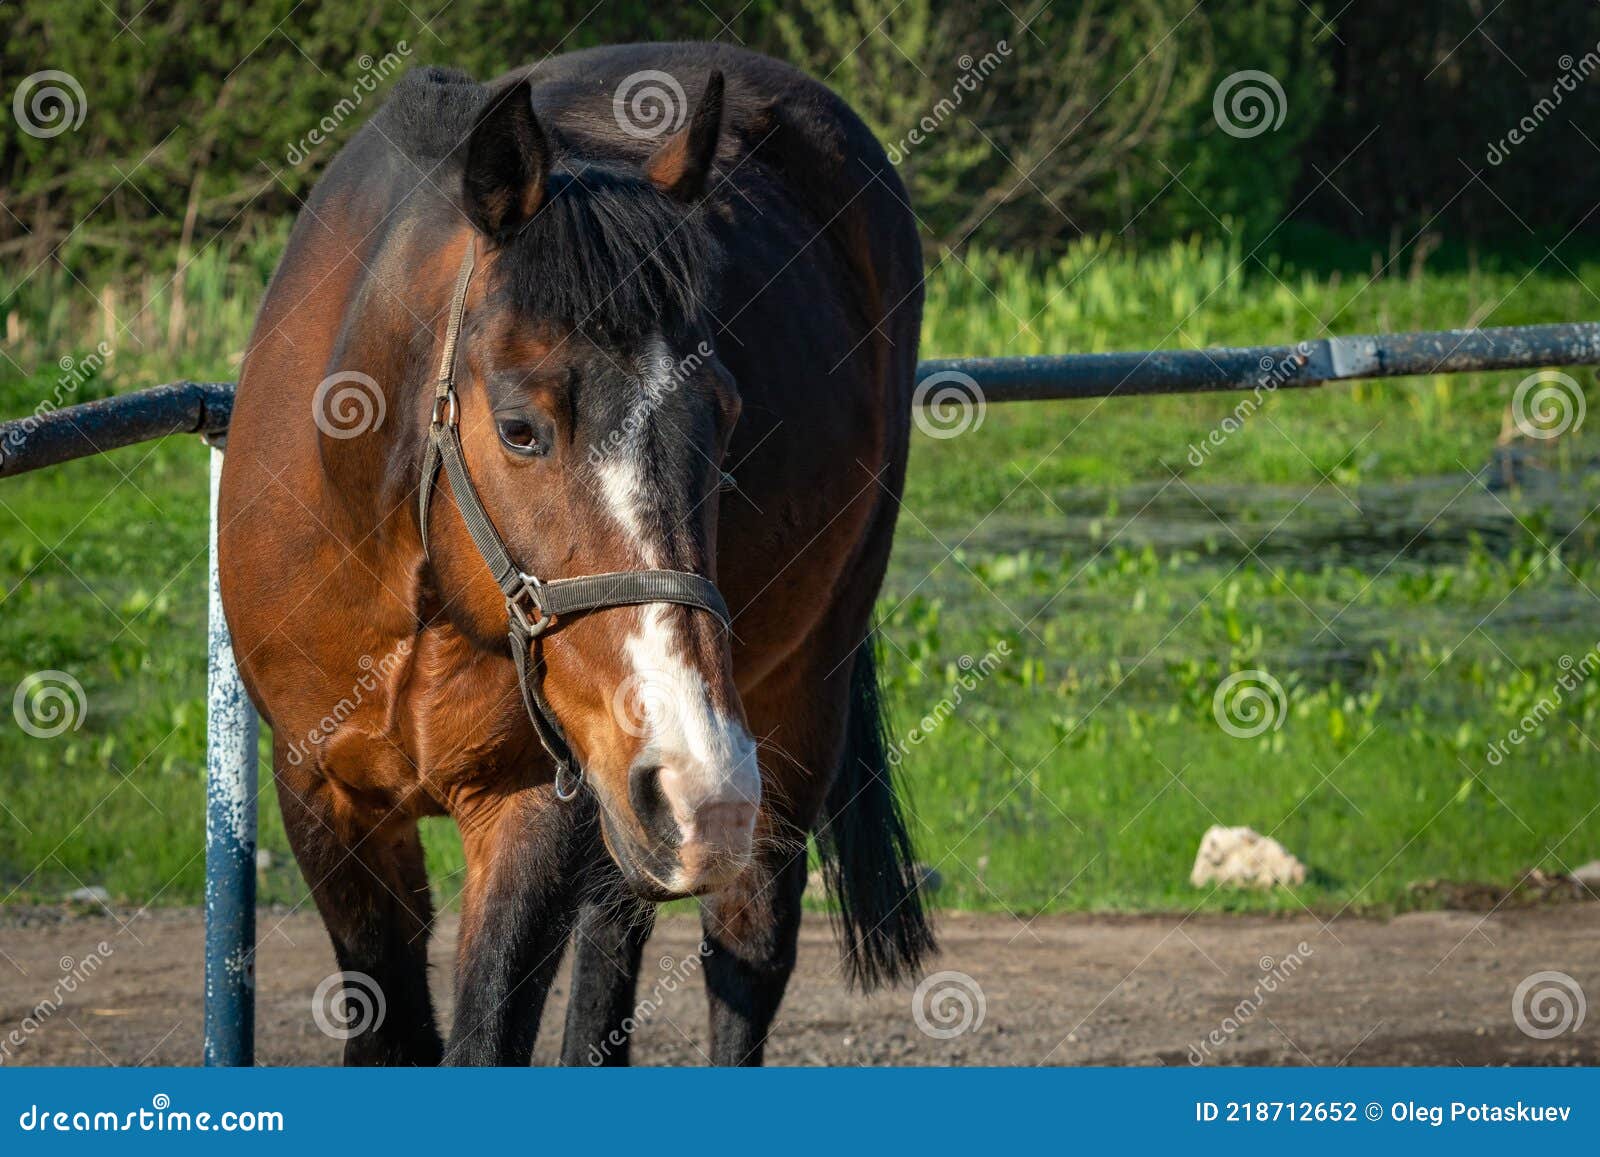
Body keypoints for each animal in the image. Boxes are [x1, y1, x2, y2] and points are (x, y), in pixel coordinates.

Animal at [218, 41, 931, 1066]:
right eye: (520, 428)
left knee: (747, 951)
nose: (702, 779)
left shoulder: (533, 807)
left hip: (787, 718)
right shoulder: (323, 796)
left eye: (724, 413)